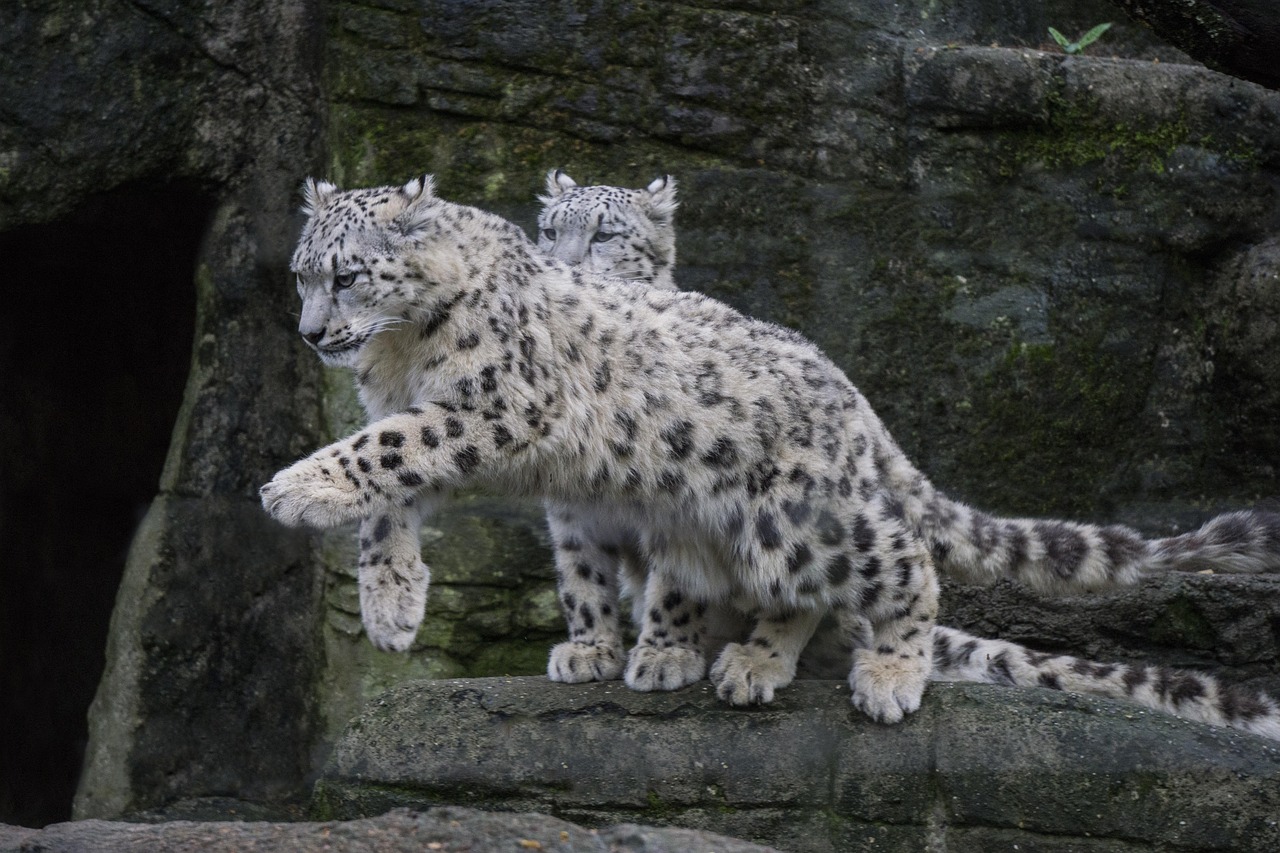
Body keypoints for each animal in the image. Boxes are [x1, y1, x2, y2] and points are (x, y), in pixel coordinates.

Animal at [262, 174, 1280, 732]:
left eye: (346, 274)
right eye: (302, 273)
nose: (311, 335)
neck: (401, 352)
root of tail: (858, 409)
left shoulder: (492, 404)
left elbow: (386, 450)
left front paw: (293, 486)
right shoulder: (432, 417)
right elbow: (392, 486)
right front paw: (393, 603)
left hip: (800, 520)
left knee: (903, 568)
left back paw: (885, 676)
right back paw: (754, 661)